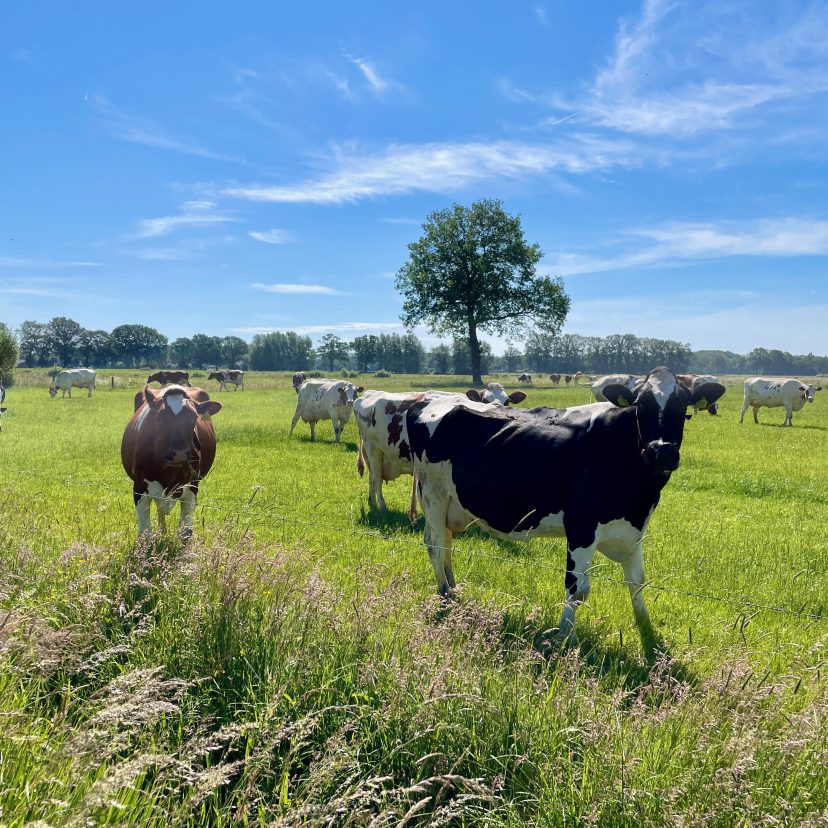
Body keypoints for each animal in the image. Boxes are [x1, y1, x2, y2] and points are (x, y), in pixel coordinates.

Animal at [121, 385, 221, 536]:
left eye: (193, 417)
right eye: (160, 417)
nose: (179, 453)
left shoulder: (192, 488)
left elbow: (185, 532)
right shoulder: (139, 489)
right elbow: (145, 533)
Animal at [355, 386, 528, 519]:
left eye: (507, 401)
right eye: (485, 401)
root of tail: (369, 393)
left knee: (372, 477)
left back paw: (372, 502)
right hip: (373, 448)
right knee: (376, 479)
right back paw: (383, 507)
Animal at [402, 367, 725, 648]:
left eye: (684, 411)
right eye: (639, 408)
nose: (662, 451)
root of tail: (428, 401)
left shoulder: (633, 530)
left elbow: (638, 582)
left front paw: (647, 633)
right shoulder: (582, 526)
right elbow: (577, 588)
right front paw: (563, 637)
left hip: (452, 504)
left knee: (446, 543)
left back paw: (454, 589)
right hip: (433, 494)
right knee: (434, 544)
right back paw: (445, 595)